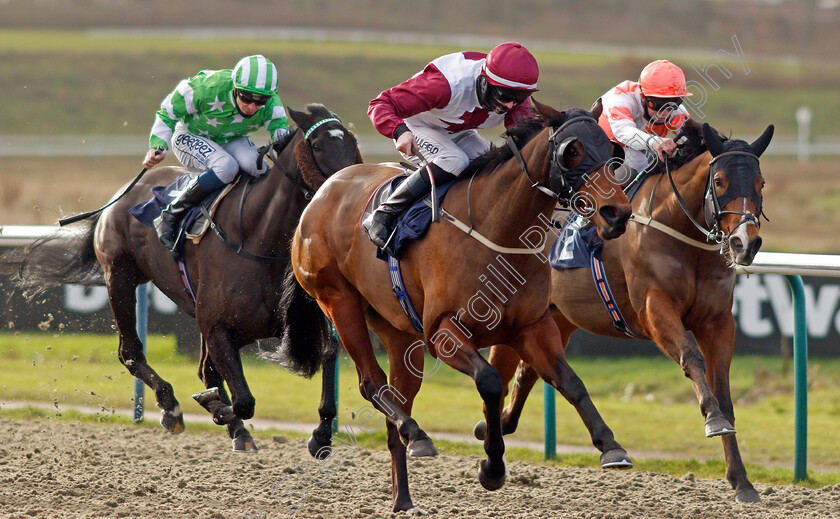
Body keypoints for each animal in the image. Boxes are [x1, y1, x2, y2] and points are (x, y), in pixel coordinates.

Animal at [4, 103, 364, 452]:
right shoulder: (217, 327)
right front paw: (216, 408)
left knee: (202, 368)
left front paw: (322, 433)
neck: (256, 237)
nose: (350, 185)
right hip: (119, 277)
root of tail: (122, 194)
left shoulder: (288, 320)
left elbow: (329, 351)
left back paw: (236, 431)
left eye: (353, 141)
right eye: (318, 145)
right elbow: (242, 400)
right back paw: (171, 406)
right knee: (130, 352)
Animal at [282, 99, 632, 512]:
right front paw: (492, 468)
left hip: (399, 334)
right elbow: (491, 382)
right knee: (371, 384)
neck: (496, 229)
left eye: (613, 151)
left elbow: (570, 382)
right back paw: (415, 434)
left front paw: (611, 446)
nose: (617, 213)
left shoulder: (533, 327)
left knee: (396, 404)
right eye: (571, 151)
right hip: (339, 301)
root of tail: (323, 192)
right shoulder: (443, 334)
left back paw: (403, 497)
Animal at [480, 121, 776, 504]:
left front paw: (742, 481)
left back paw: (500, 423)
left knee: (528, 371)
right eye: (721, 181)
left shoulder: (718, 322)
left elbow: (724, 393)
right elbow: (691, 358)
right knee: (505, 371)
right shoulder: (654, 308)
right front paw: (712, 418)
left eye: (761, 183)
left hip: (557, 316)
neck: (679, 230)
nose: (745, 242)